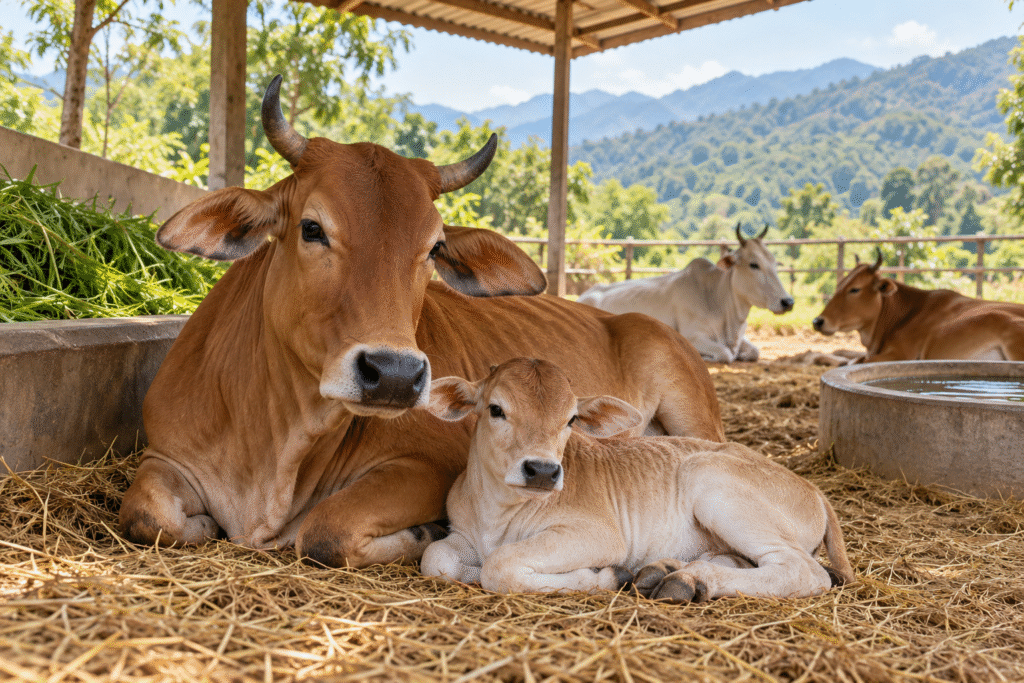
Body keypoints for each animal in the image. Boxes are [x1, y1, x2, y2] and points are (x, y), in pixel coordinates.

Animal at [117, 76, 725, 569]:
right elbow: (147, 515)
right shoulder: (164, 455)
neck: (274, 439)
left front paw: (423, 532)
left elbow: (323, 530)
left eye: (433, 248)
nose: (392, 374)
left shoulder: (427, 465)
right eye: (311, 228)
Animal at [420, 358, 854, 601]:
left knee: (802, 570)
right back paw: (669, 572)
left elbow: (500, 565)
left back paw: (693, 579)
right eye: (496, 409)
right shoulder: (462, 533)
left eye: (571, 420)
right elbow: (435, 558)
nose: (542, 470)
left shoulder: (598, 534)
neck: (496, 515)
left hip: (712, 481)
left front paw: (605, 577)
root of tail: (815, 490)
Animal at [577, 225, 794, 363]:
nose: (788, 301)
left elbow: (754, 351)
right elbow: (725, 354)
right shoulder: (692, 335)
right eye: (753, 264)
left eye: (774, 263)